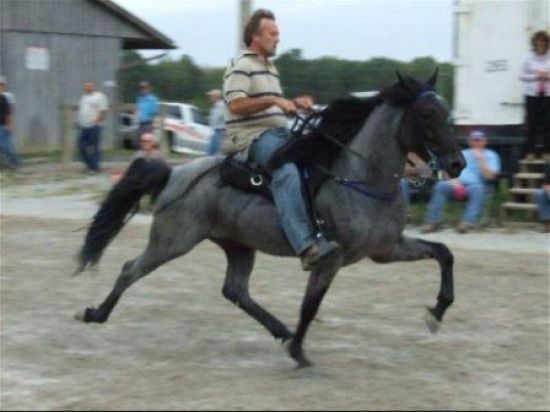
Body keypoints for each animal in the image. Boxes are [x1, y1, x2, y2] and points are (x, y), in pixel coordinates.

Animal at [73, 71, 468, 366]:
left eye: (445, 112)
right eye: (426, 114)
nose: (457, 164)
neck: (359, 177)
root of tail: (174, 174)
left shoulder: (387, 248)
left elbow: (443, 253)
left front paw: (437, 312)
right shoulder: (331, 258)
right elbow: (310, 304)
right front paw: (299, 353)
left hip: (237, 245)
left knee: (235, 290)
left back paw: (282, 331)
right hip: (172, 241)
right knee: (130, 269)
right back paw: (94, 313)